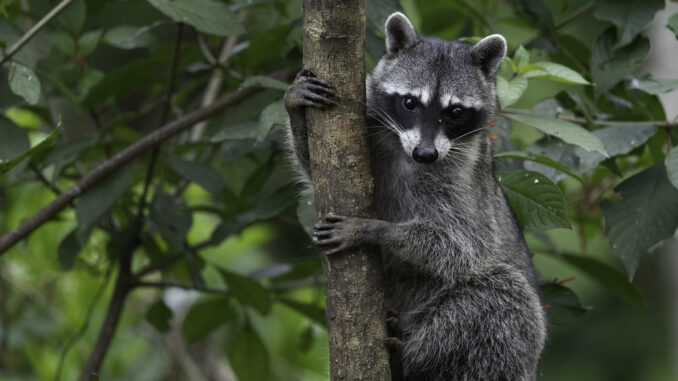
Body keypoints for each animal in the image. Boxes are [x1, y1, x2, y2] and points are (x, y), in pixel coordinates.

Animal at [284, 11, 548, 380]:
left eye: (454, 111)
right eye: (410, 102)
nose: (425, 154)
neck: (407, 153)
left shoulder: (462, 181)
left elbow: (461, 246)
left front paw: (373, 230)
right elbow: (313, 165)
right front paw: (294, 102)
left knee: (503, 297)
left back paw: (411, 348)